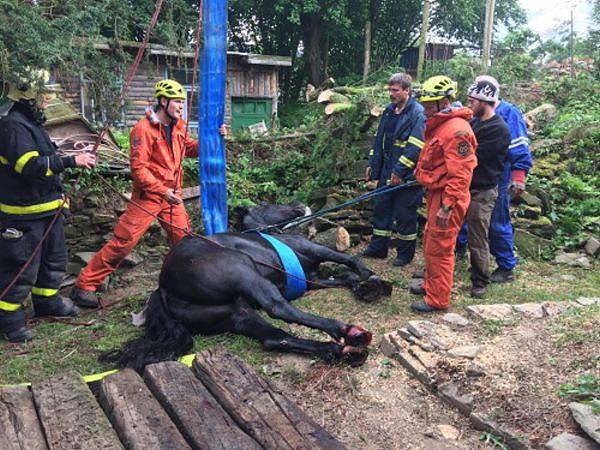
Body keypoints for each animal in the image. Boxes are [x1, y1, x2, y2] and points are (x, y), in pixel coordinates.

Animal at [104, 230, 394, 370]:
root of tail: (163, 287)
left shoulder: (313, 278)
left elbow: (344, 277)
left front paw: (365, 287)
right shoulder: (314, 250)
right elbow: (349, 260)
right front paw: (373, 280)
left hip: (237, 313)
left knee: (274, 337)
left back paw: (338, 350)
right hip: (243, 269)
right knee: (278, 308)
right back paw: (348, 332)